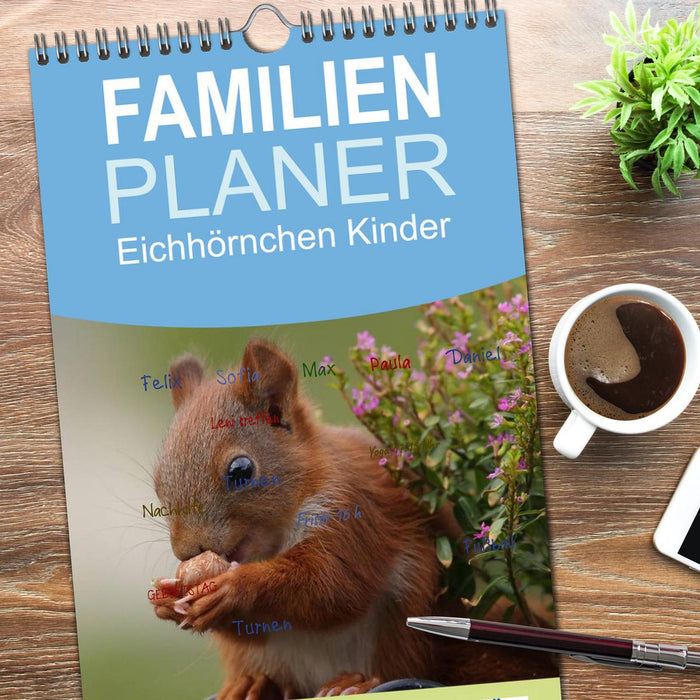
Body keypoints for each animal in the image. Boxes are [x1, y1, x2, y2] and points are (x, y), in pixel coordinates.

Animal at [149, 338, 555, 700]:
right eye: (157, 479)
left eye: (241, 471)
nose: (187, 552)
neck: (275, 539)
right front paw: (165, 601)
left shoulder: (353, 513)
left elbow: (332, 587)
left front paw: (237, 587)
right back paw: (253, 684)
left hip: (405, 613)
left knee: (398, 664)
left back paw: (357, 683)